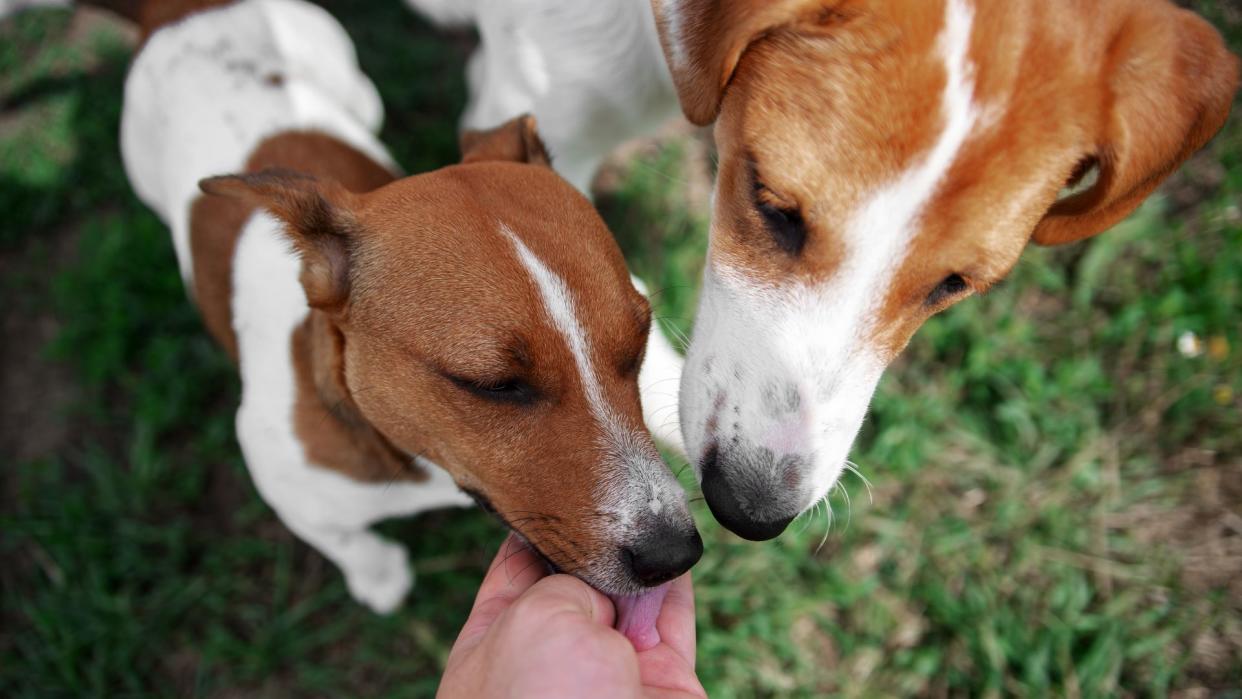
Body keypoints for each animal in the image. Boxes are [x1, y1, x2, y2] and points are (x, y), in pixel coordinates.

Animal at [93, 0, 705, 650]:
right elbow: (345, 540)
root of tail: (182, 11)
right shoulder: (279, 477)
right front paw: (379, 577)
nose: (675, 555)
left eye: (638, 344)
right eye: (493, 385)